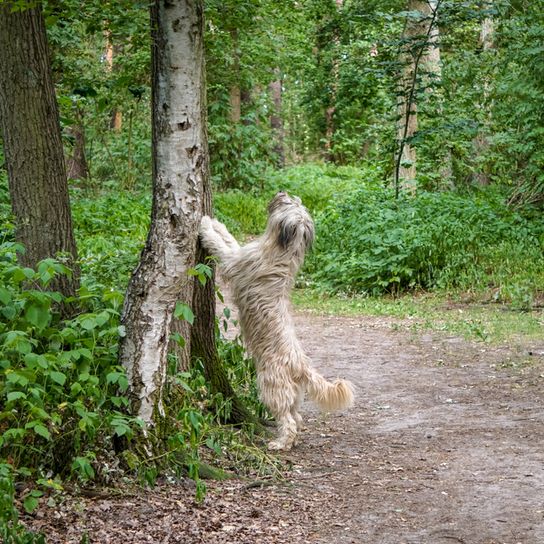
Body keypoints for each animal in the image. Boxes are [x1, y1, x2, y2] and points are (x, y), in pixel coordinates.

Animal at [198, 191, 354, 450]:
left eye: (288, 203)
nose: (282, 193)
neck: (284, 253)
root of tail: (302, 366)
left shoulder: (235, 262)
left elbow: (223, 247)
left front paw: (204, 225)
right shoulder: (241, 253)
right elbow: (229, 238)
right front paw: (216, 223)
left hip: (271, 384)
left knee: (288, 419)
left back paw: (280, 443)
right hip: (292, 393)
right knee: (297, 417)